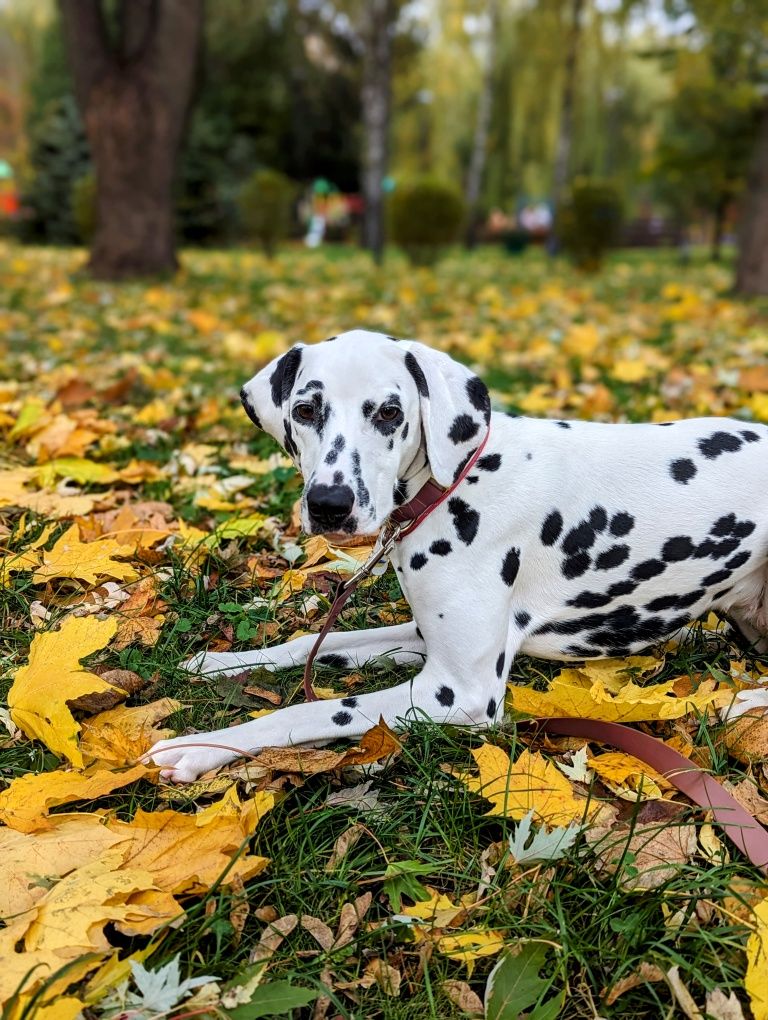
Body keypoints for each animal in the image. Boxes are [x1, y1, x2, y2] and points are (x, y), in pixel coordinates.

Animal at [147, 328, 766, 779]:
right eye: (305, 410)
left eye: (388, 412)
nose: (329, 504)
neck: (456, 481)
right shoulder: (423, 639)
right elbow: (310, 646)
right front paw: (219, 663)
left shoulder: (459, 691)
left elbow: (307, 709)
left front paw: (203, 747)